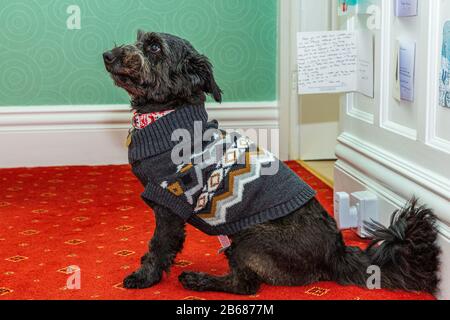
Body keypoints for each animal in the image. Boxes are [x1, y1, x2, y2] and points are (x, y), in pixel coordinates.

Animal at [102, 31, 440, 294]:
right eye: (139, 40)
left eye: (154, 47)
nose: (107, 54)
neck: (165, 115)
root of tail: (337, 252)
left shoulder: (169, 204)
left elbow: (159, 247)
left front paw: (143, 277)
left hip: (250, 237)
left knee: (246, 285)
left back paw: (199, 280)